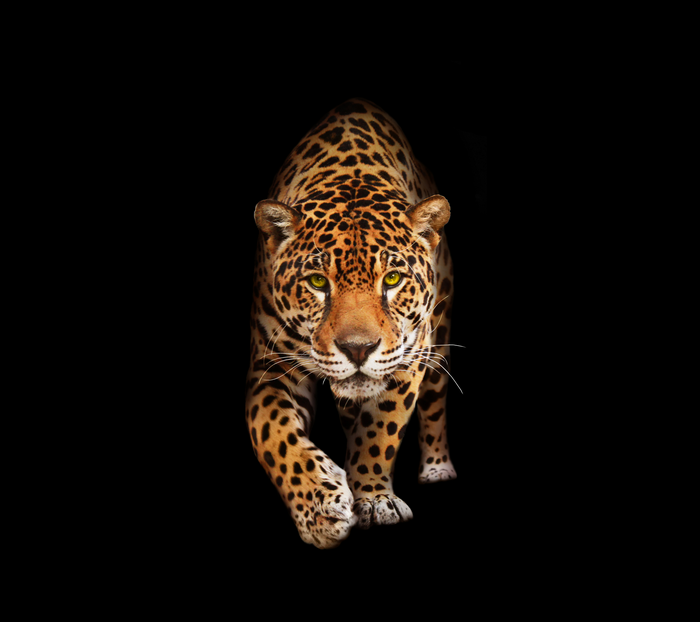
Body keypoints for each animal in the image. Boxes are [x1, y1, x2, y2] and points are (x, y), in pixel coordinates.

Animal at [245, 98, 458, 549]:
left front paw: (374, 499)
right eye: (317, 282)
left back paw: (437, 468)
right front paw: (320, 509)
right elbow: (273, 434)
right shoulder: (270, 366)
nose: (357, 349)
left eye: (392, 280)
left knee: (434, 402)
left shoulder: (409, 357)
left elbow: (380, 430)